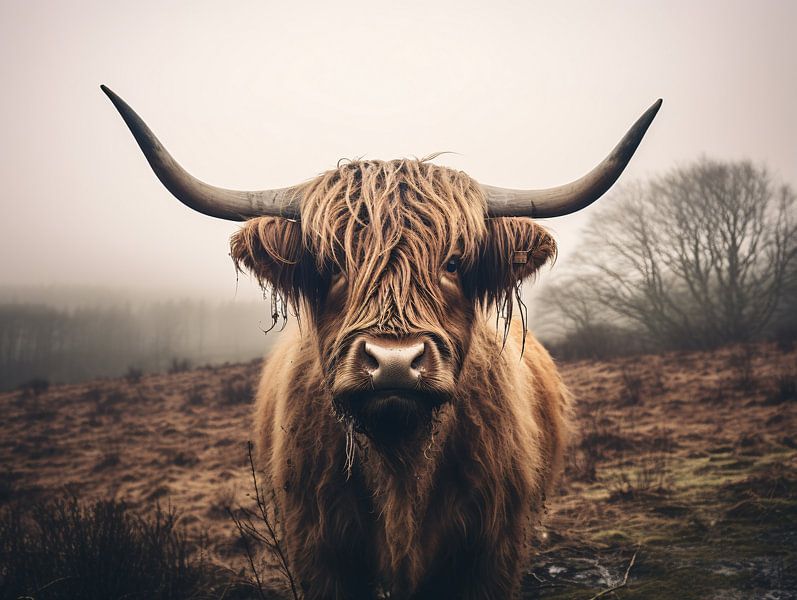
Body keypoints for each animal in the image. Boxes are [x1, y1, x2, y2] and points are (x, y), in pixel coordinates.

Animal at [102, 85, 660, 599]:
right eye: (330, 265)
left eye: (454, 262)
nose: (394, 362)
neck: (399, 469)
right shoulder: (319, 550)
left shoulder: (490, 551)